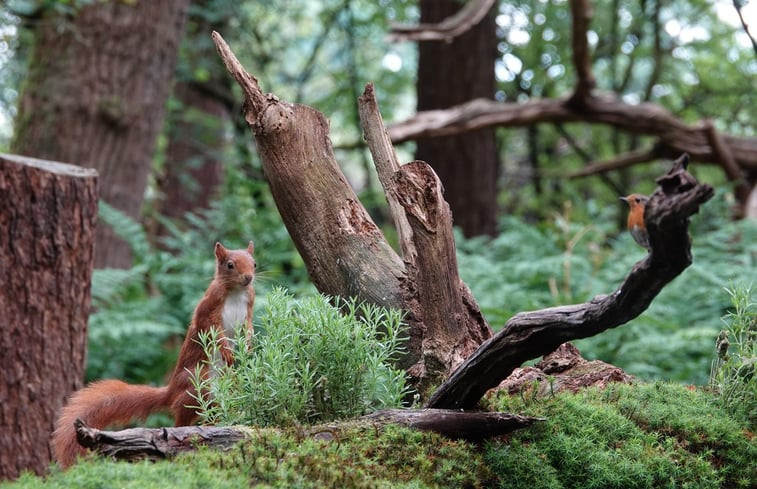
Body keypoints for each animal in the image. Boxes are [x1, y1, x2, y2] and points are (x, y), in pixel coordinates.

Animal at [52, 240, 256, 466]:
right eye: (230, 265)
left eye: (254, 264)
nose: (248, 278)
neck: (236, 293)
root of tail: (172, 391)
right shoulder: (210, 306)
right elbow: (213, 329)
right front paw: (227, 350)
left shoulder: (249, 305)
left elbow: (248, 327)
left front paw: (248, 345)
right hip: (197, 382)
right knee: (181, 421)